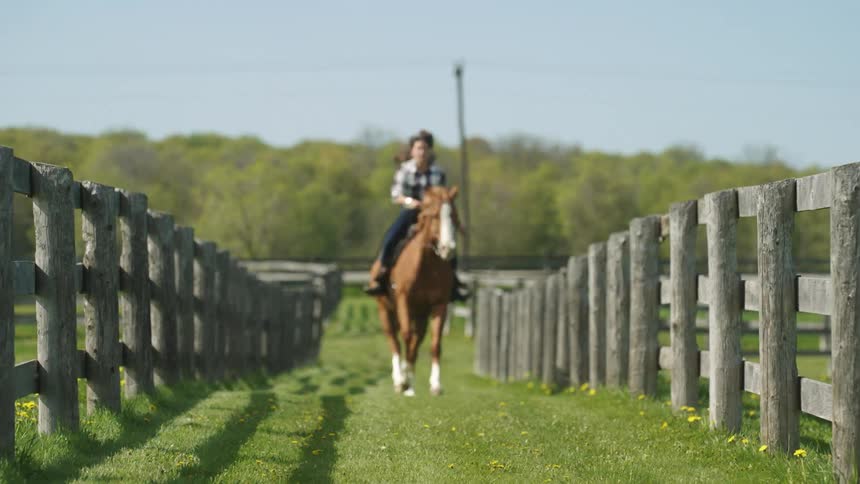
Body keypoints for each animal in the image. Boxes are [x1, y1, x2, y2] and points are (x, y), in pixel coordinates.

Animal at [369, 185, 460, 396]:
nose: (448, 248)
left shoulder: (439, 305)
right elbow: (406, 337)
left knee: (416, 342)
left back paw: (408, 380)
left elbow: (434, 343)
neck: (426, 266)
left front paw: (435, 384)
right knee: (394, 340)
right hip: (385, 310)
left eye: (452, 215)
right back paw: (399, 379)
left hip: (420, 315)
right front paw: (403, 380)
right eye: (434, 215)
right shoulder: (404, 300)